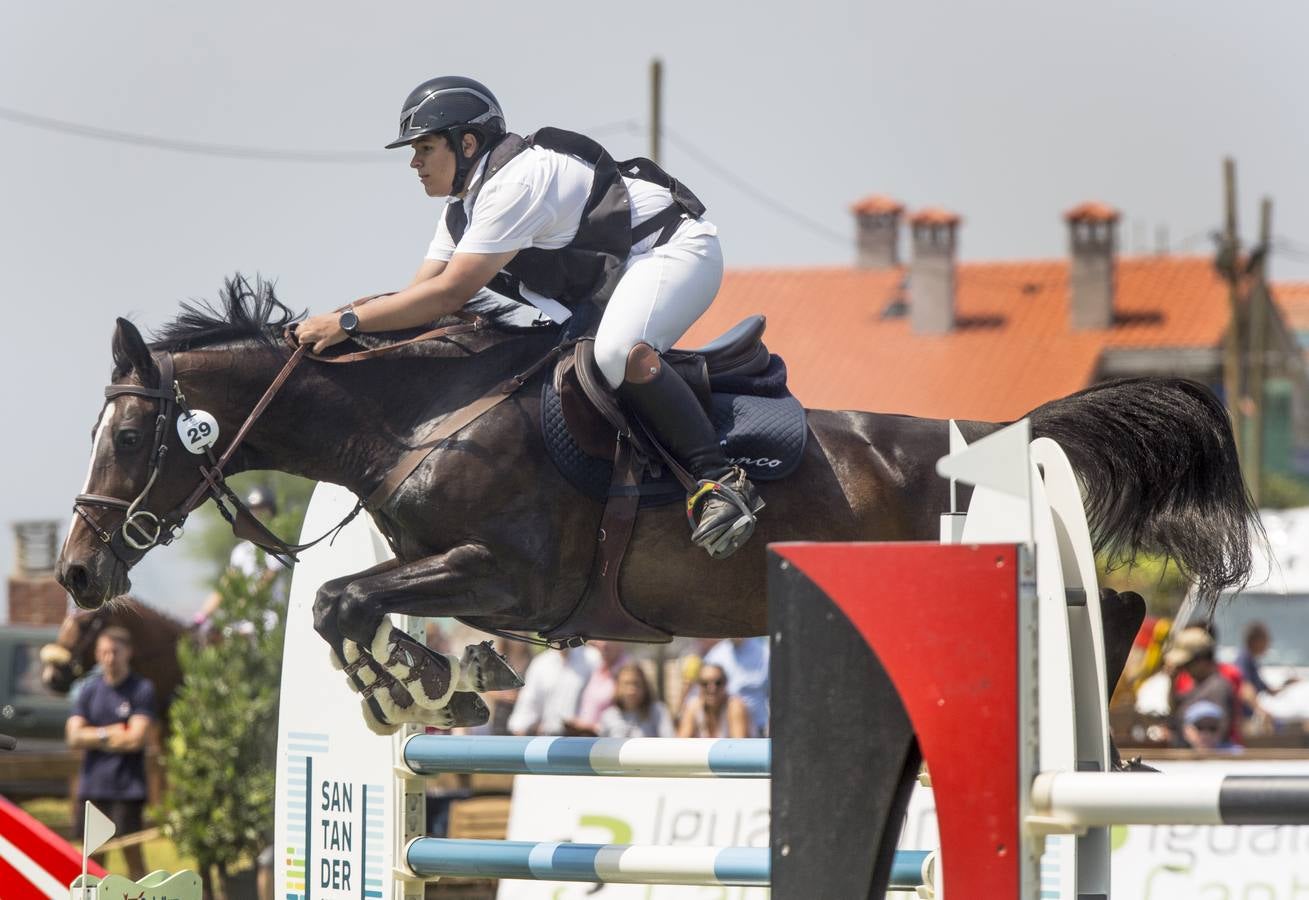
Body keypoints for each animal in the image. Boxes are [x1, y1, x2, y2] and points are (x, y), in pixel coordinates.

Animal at [53, 279, 1256, 732]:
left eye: (130, 438)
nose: (75, 572)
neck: (420, 414)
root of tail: (1015, 435)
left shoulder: (511, 573)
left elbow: (341, 600)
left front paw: (417, 692)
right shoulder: (477, 583)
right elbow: (351, 605)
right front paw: (445, 684)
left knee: (1111, 603)